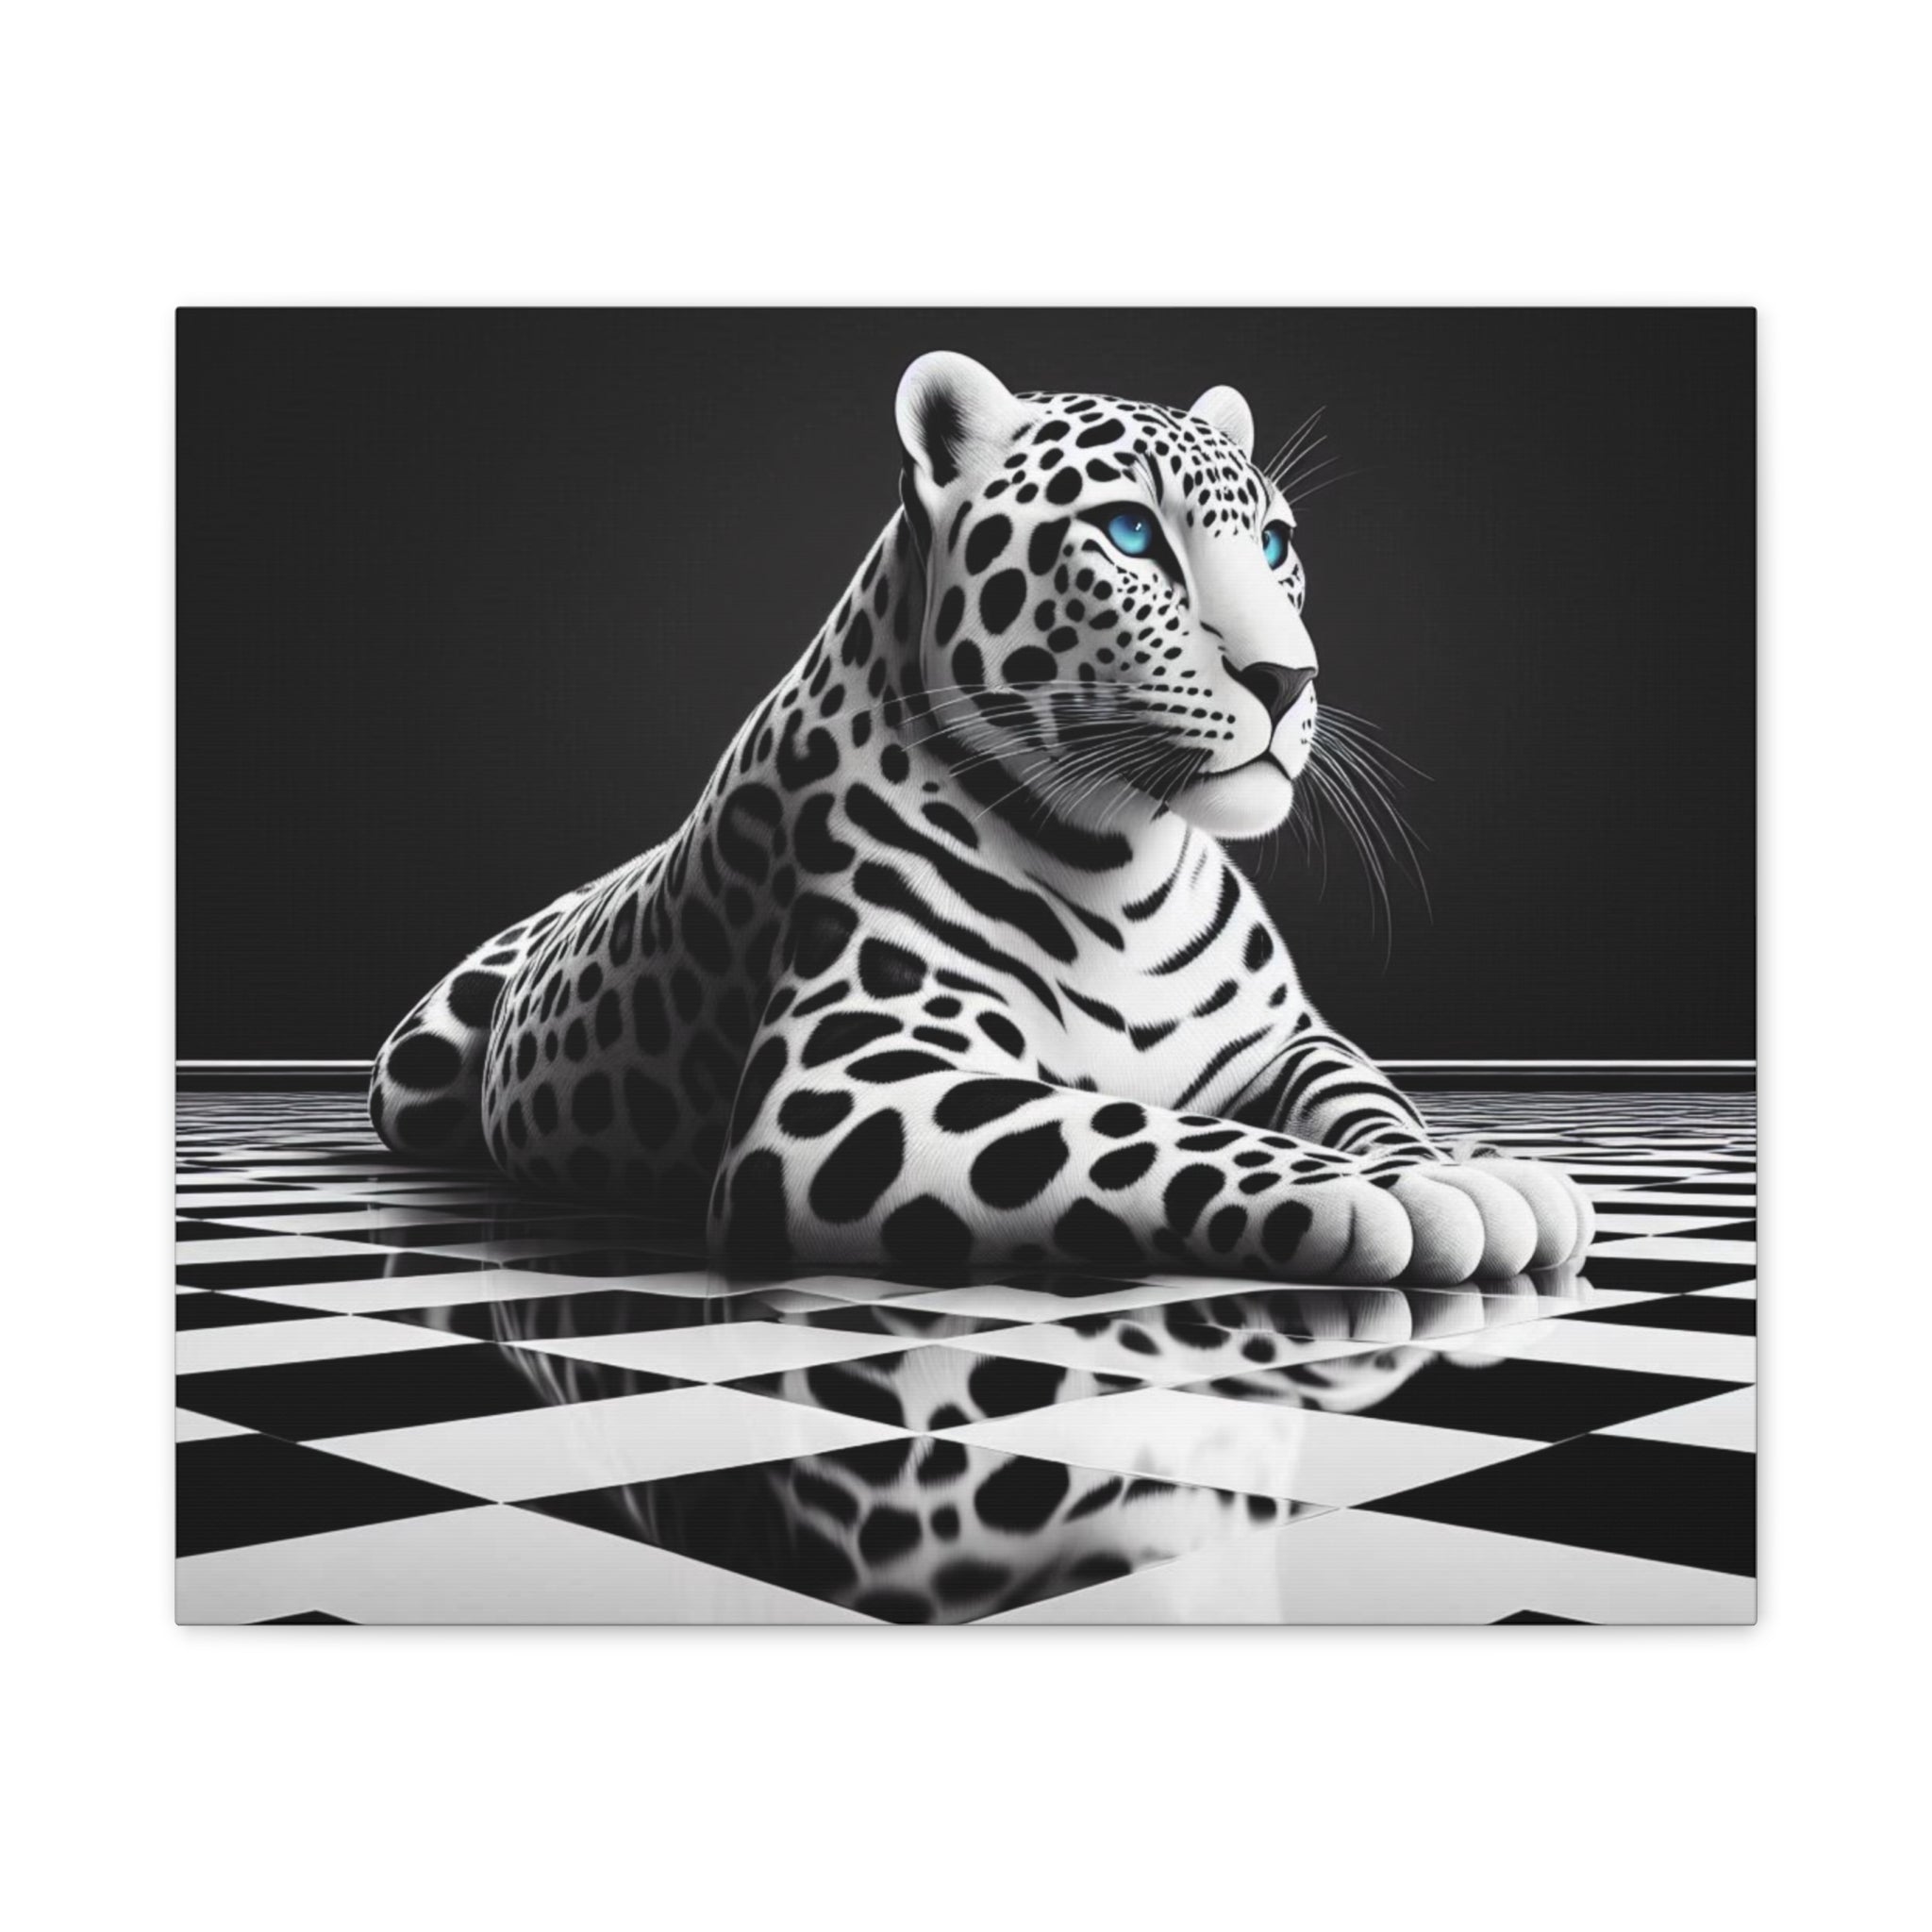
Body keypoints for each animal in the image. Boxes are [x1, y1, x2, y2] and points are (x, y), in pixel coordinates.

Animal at [369, 351, 1593, 1287]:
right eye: (1129, 535)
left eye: (1275, 546)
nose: (1288, 680)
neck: (1127, 863)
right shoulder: (847, 1086)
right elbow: (1140, 1128)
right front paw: (1399, 1194)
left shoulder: (1285, 1040)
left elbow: (1366, 1095)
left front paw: (1450, 1159)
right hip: (412, 1071)